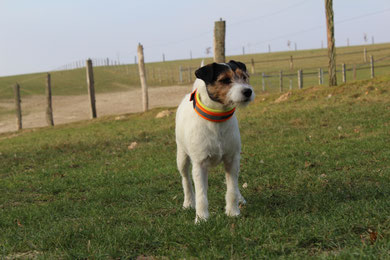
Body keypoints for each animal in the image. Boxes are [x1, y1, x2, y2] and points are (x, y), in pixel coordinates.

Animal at [175, 60, 254, 222]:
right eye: (225, 80)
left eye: (244, 77)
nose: (247, 91)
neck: (218, 119)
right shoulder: (199, 164)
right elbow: (201, 195)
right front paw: (201, 218)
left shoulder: (232, 159)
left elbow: (231, 189)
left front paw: (233, 212)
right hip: (182, 157)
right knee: (186, 179)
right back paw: (188, 202)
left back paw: (240, 198)